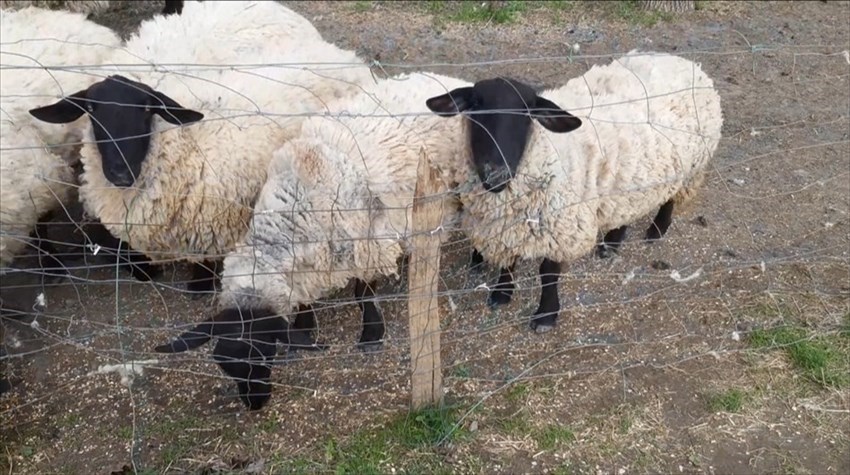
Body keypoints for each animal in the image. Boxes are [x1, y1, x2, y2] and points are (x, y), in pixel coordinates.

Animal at [27, 0, 376, 294]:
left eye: (146, 110)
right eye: (92, 110)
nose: (120, 174)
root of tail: (346, 57)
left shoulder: (219, 219)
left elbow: (207, 259)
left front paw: (200, 284)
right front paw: (141, 269)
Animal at [425, 50, 723, 333]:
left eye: (528, 113)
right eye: (475, 106)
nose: (496, 173)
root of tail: (683, 61)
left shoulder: (563, 225)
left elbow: (548, 272)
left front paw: (546, 315)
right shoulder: (507, 225)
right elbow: (508, 260)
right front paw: (502, 293)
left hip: (691, 166)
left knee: (671, 199)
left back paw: (656, 230)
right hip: (628, 179)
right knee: (624, 209)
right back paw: (611, 242)